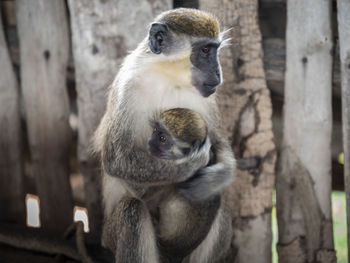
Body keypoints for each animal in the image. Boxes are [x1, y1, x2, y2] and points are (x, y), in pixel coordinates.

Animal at [94, 8, 235, 263]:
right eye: (205, 51)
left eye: (215, 49)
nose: (218, 72)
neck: (167, 75)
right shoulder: (127, 88)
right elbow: (117, 161)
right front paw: (191, 165)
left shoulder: (207, 98)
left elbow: (220, 145)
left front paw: (213, 178)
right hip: (109, 238)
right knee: (132, 211)